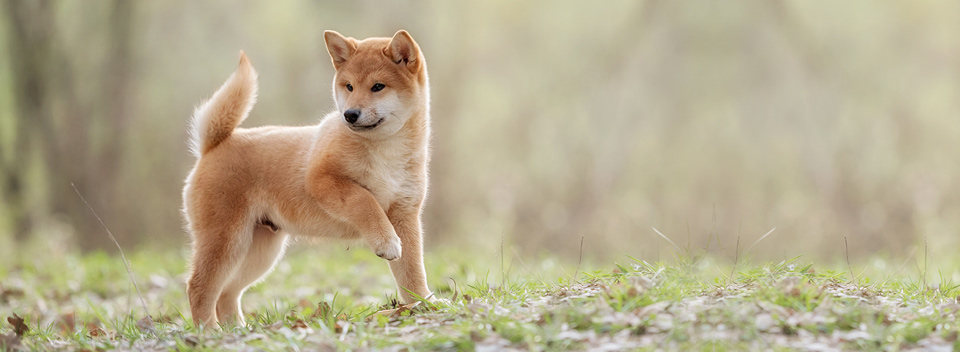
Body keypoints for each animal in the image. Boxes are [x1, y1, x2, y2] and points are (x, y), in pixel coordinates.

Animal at [181, 30, 436, 328]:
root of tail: (213, 146)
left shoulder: (405, 213)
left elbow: (412, 272)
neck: (385, 149)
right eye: (349, 87)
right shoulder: (321, 179)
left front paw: (424, 303)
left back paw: (237, 329)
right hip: (226, 239)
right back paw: (209, 330)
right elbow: (364, 200)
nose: (349, 114)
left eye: (378, 87)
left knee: (226, 293)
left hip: (258, 251)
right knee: (199, 287)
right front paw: (386, 241)